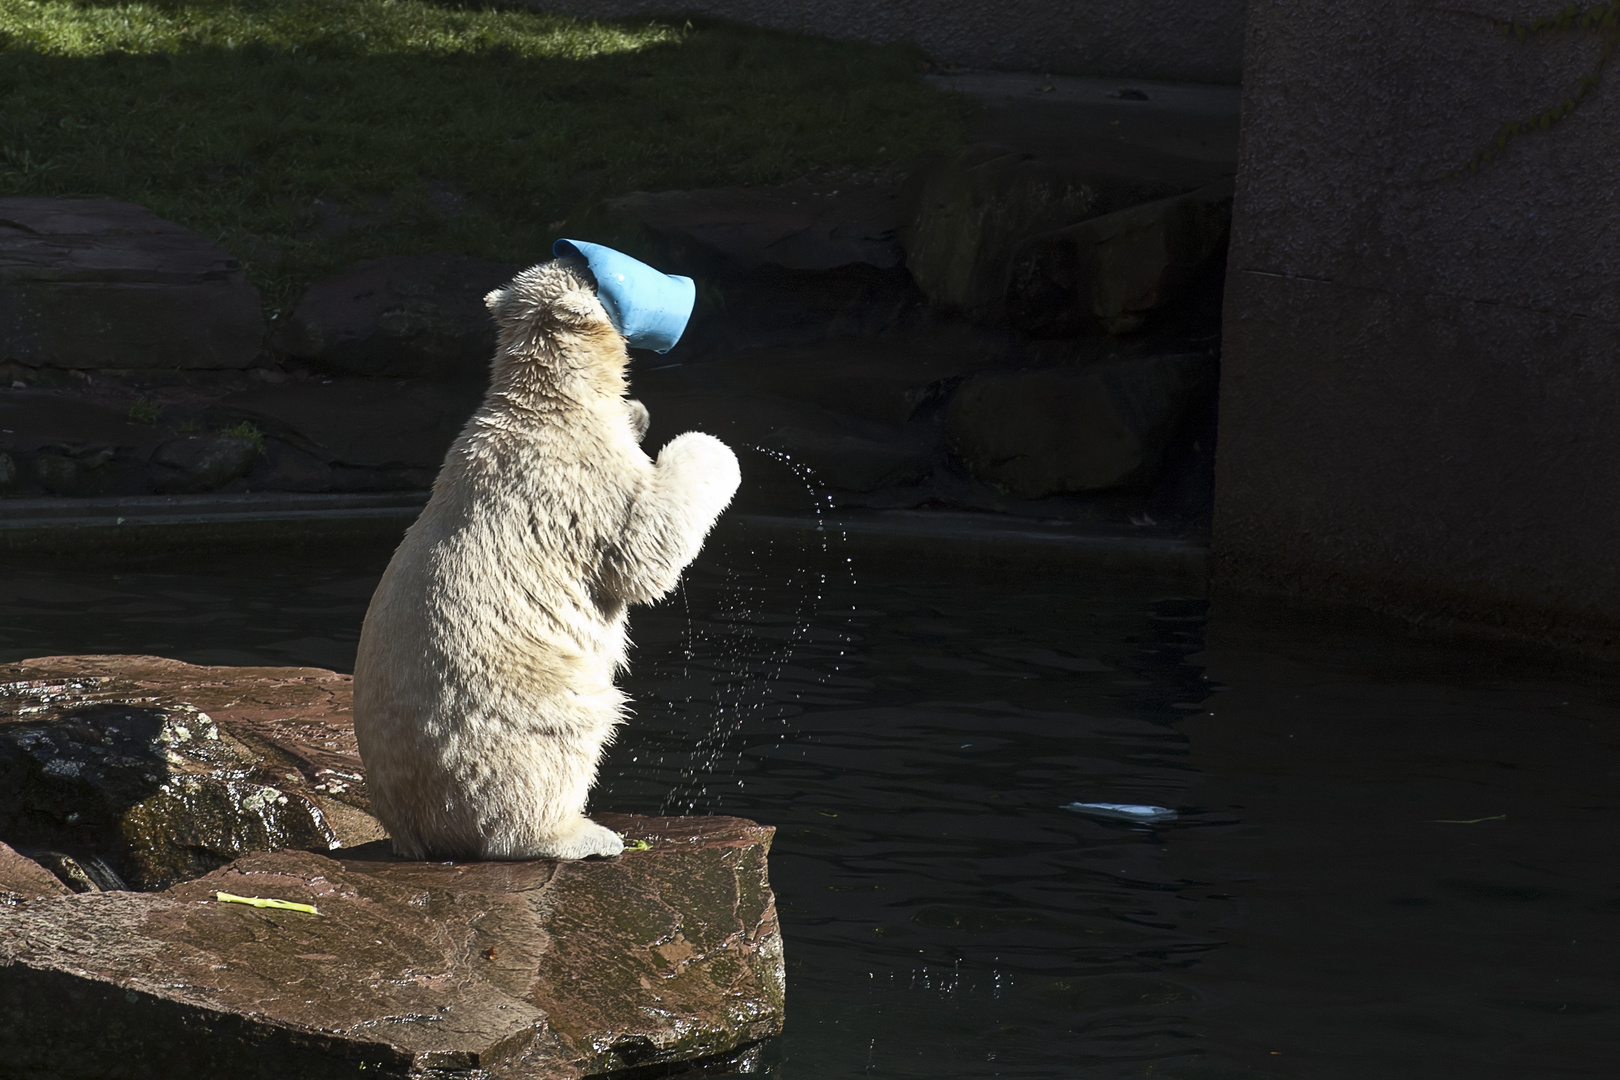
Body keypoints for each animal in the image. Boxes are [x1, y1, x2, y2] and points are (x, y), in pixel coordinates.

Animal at [354, 254, 741, 861]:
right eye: (591, 270)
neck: (548, 402)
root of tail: (414, 830)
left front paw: (638, 412)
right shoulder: (580, 480)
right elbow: (642, 556)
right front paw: (709, 446)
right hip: (517, 706)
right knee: (567, 732)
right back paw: (580, 833)